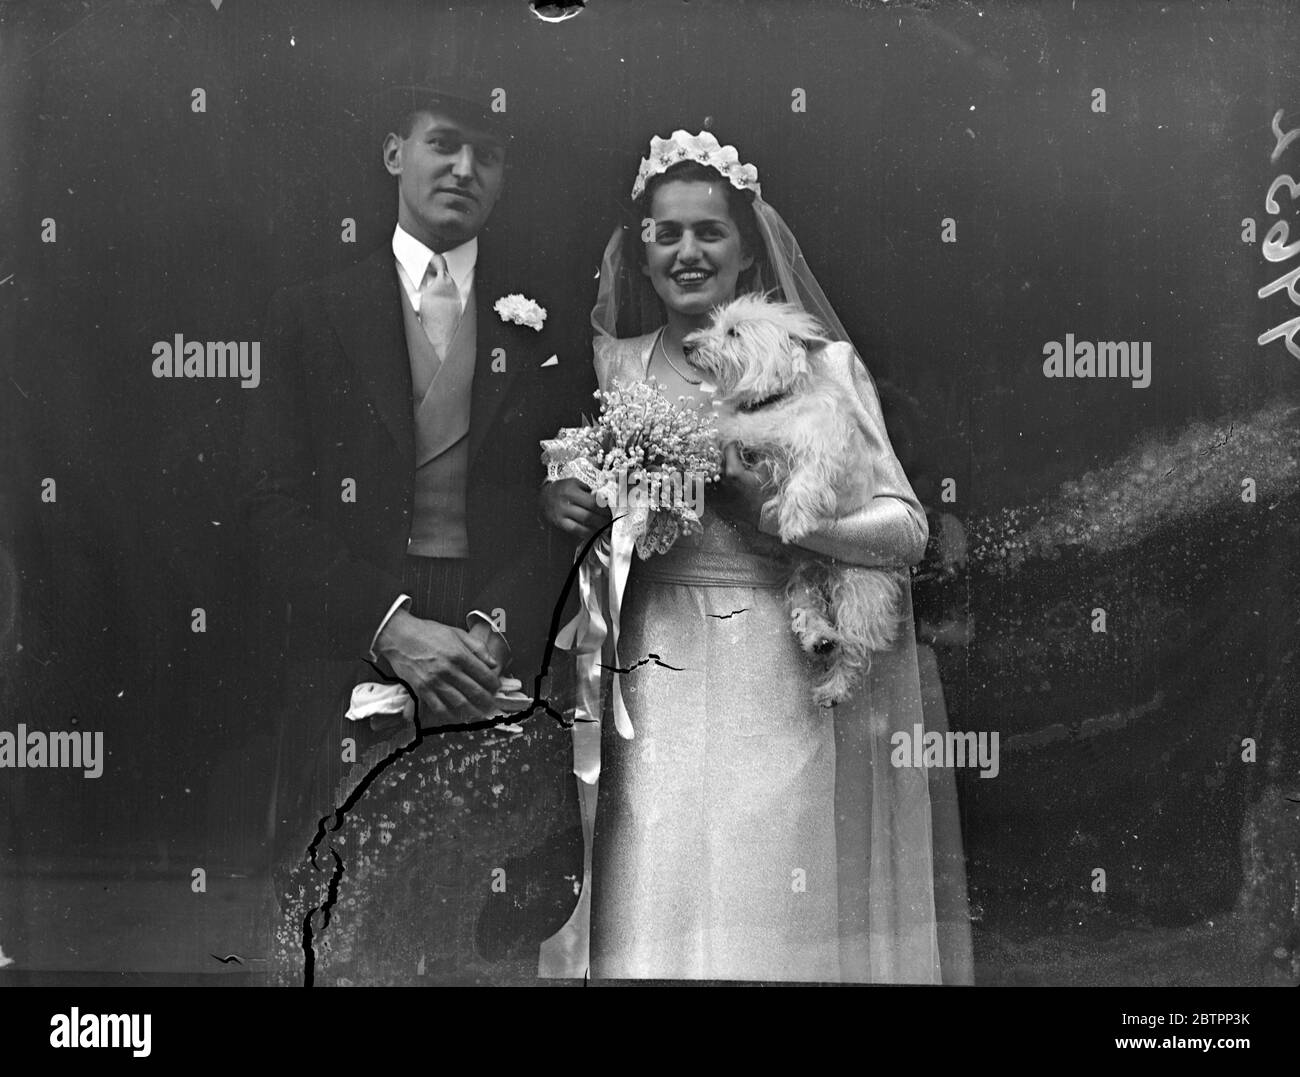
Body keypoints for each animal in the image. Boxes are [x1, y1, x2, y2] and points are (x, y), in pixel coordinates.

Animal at [686, 293, 909, 707]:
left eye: (733, 332)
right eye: (714, 325)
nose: (686, 344)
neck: (771, 403)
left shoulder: (821, 451)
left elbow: (803, 483)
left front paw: (791, 521)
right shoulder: (738, 434)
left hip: (856, 585)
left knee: (854, 647)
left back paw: (834, 686)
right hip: (801, 575)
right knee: (809, 609)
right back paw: (820, 638)